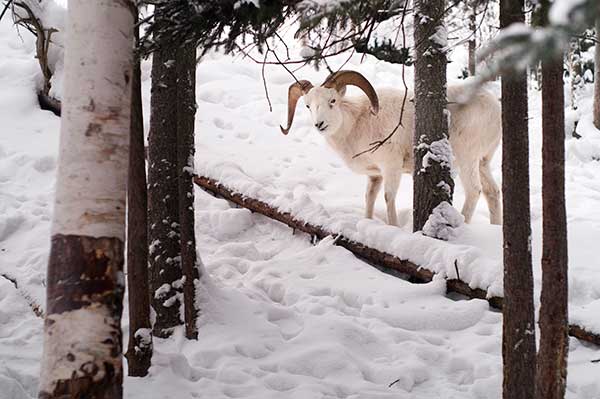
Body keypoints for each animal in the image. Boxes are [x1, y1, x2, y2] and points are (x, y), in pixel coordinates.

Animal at [280, 70, 502, 227]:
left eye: (332, 101)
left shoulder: (391, 167)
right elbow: (369, 198)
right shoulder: (375, 175)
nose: (320, 124)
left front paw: (393, 227)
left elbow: (388, 198)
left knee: (474, 190)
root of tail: (495, 108)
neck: (357, 123)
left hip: (466, 159)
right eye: (308, 105)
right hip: (483, 162)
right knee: (492, 191)